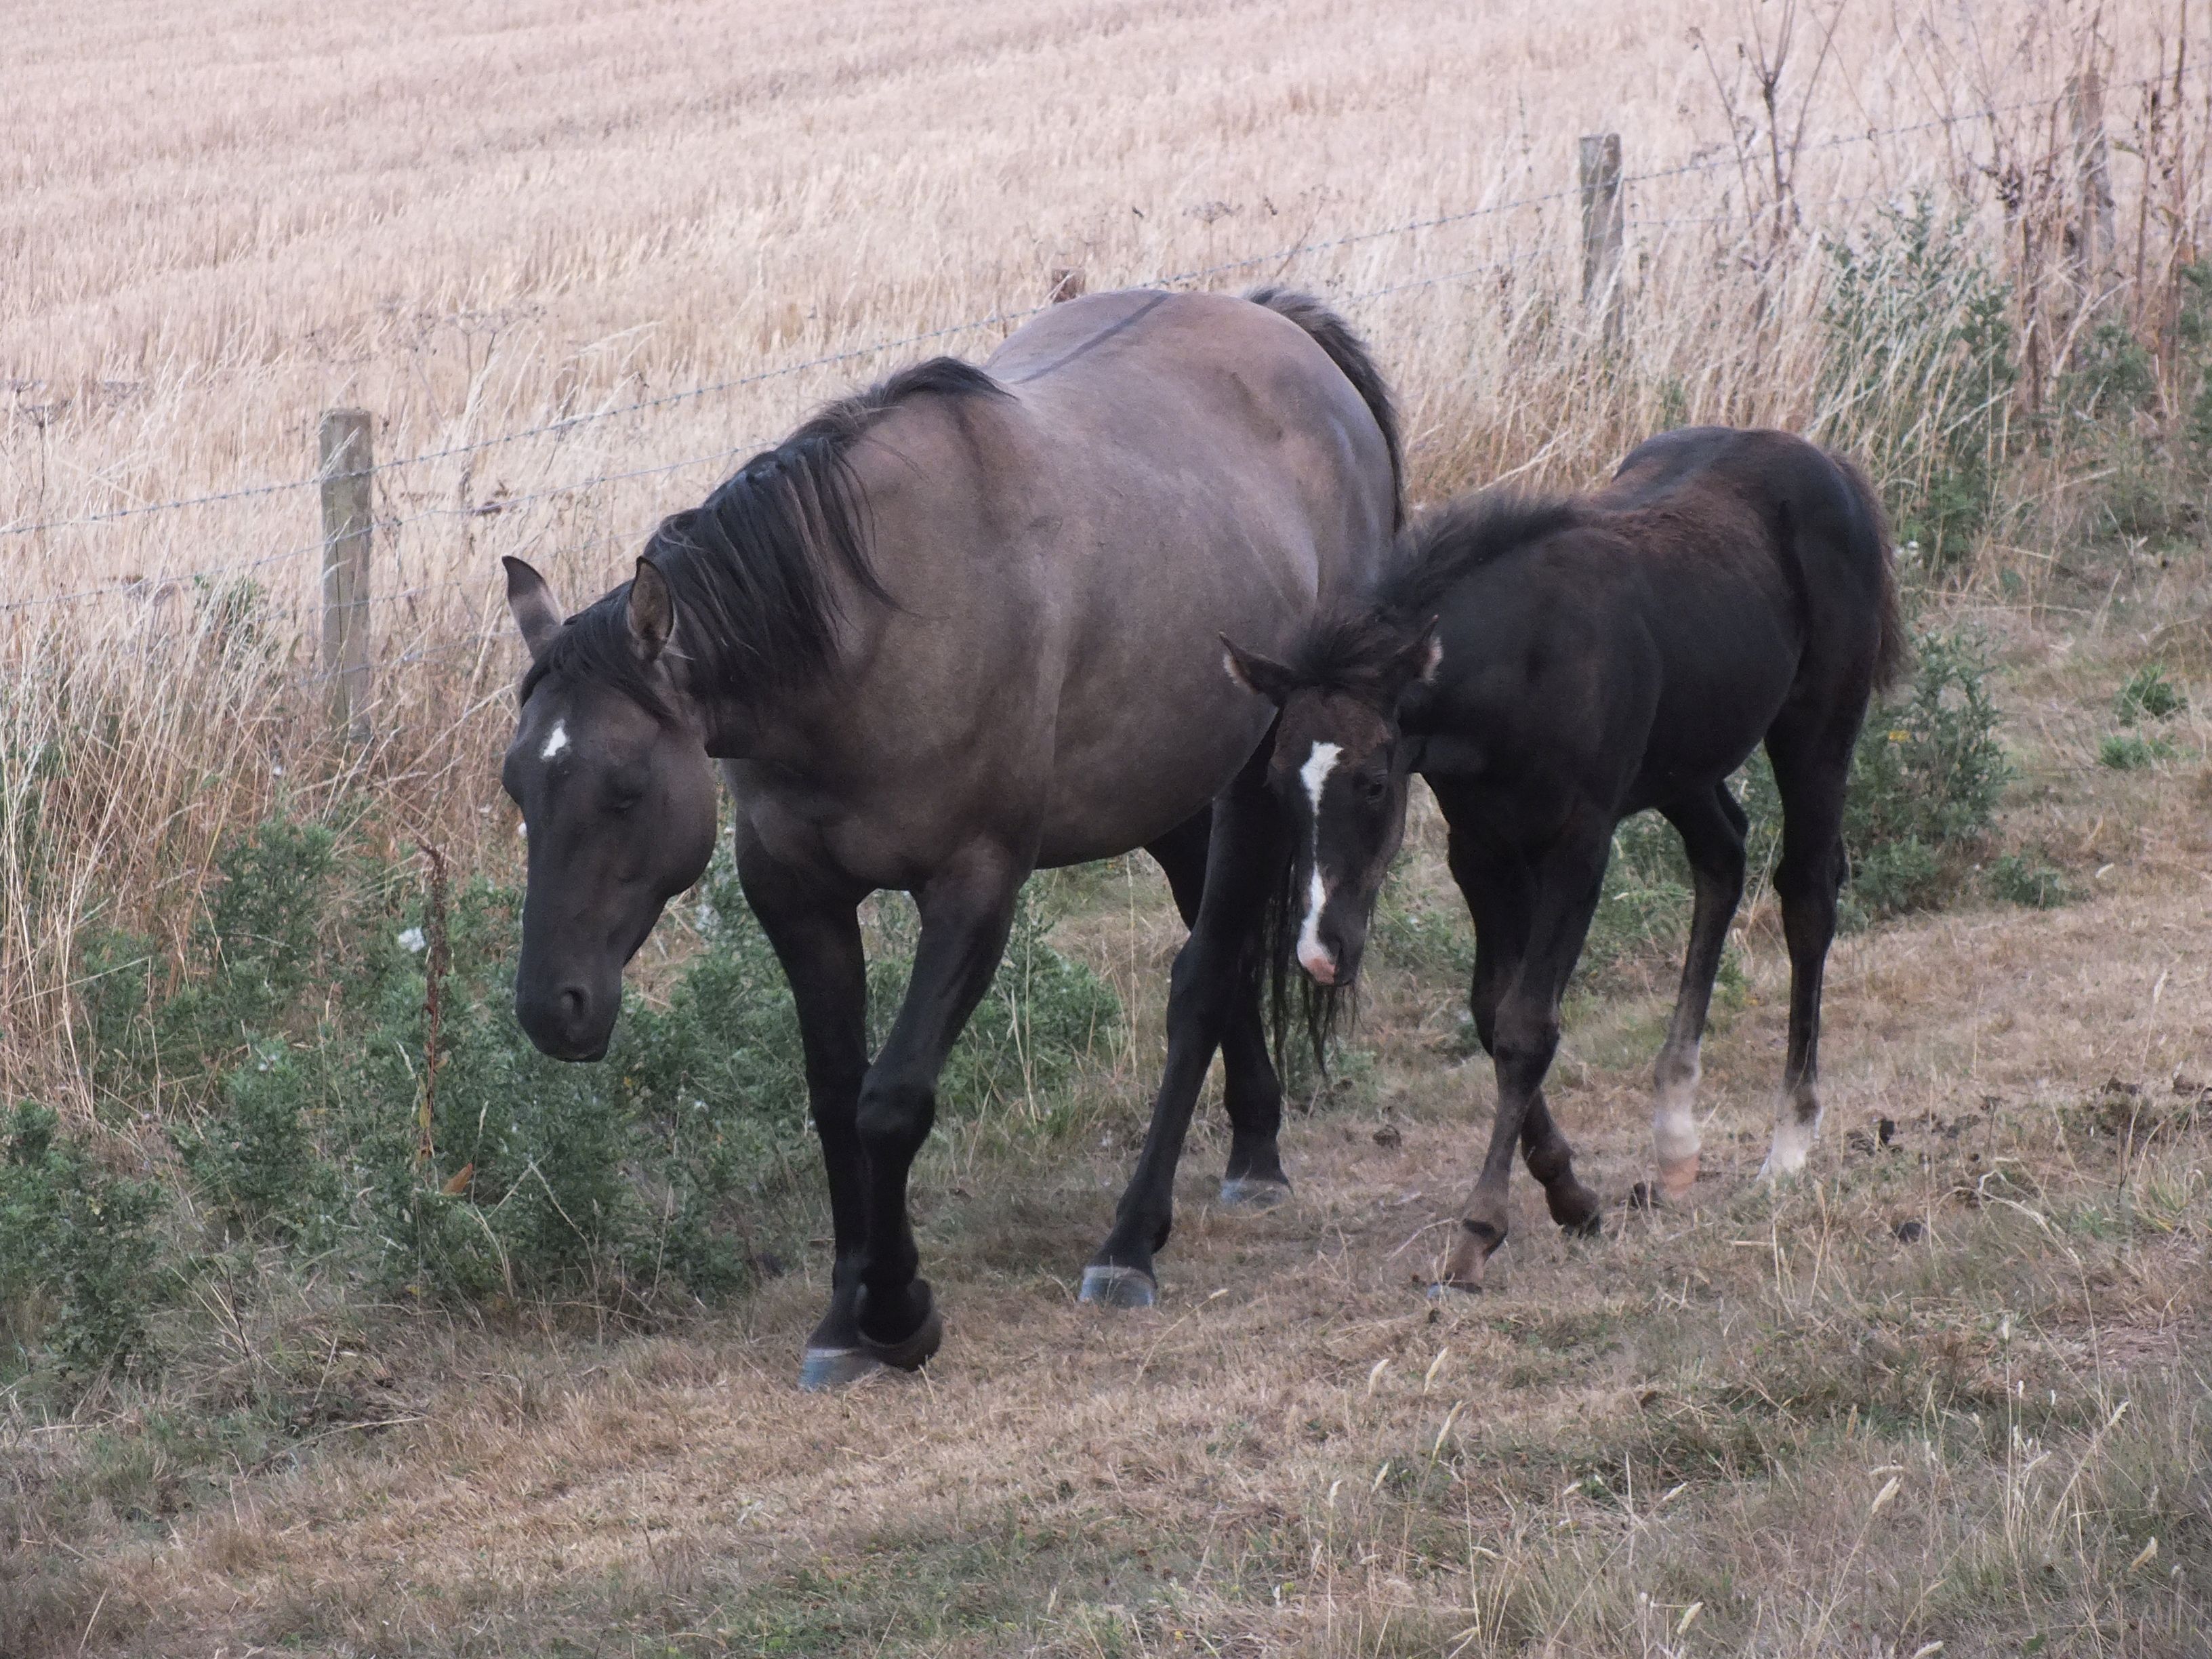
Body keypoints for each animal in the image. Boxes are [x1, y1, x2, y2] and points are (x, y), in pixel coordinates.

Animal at [499, 287, 1401, 1384]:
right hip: (1175, 787)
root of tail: (1284, 328)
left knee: (1200, 980)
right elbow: (835, 1094)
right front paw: (846, 1313)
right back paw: (1255, 1148)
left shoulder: (975, 888)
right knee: (1218, 962)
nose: (554, 1008)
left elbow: (892, 1101)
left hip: (1264, 774)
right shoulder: (793, 890)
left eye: (625, 789)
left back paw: (1129, 1244)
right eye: (516, 785)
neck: (868, 631)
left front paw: (897, 1312)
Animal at [1221, 426, 1902, 1291]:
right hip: (1681, 763)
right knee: (1722, 854)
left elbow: (1525, 1024)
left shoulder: (1578, 844)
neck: (1523, 665)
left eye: (1374, 782)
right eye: (1277, 781)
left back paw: (1787, 1146)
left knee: (1808, 892)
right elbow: (1491, 1011)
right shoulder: (1480, 851)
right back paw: (1674, 1140)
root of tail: (1832, 466)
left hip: (1818, 728)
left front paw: (1481, 1229)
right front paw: (1569, 1193)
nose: (1318, 950)